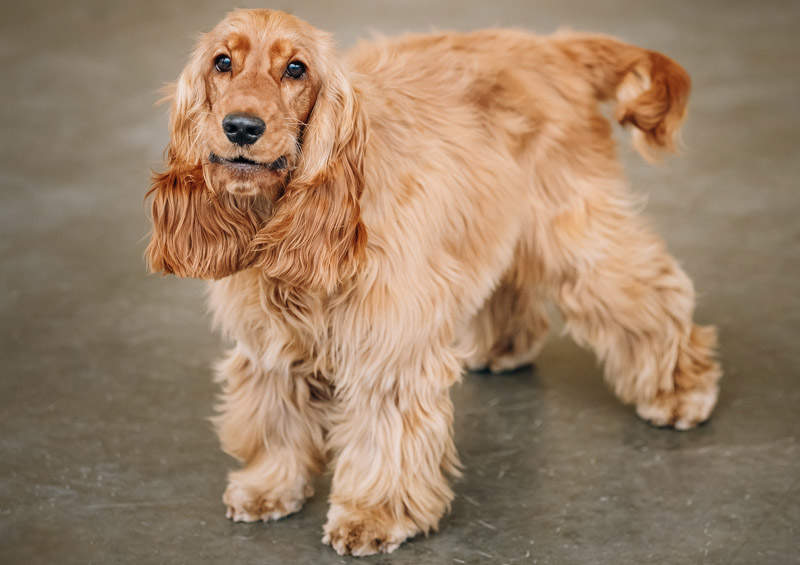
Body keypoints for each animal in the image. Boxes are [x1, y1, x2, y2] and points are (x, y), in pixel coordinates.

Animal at [145, 8, 724, 556]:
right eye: (223, 62)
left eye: (296, 69)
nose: (242, 127)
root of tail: (551, 46)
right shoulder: (270, 339)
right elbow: (274, 413)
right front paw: (269, 486)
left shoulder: (389, 342)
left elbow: (385, 433)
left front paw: (372, 515)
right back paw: (504, 346)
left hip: (575, 232)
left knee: (653, 294)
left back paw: (680, 391)